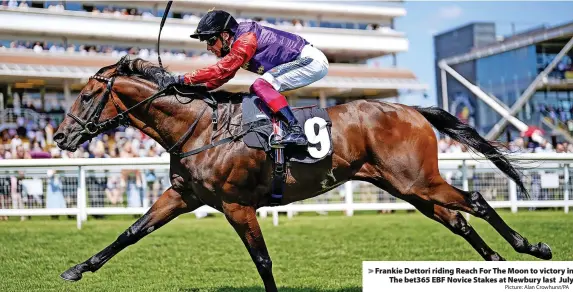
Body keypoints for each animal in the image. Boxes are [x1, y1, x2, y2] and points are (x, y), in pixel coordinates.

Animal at [53, 57, 548, 292]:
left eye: (88, 95)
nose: (59, 136)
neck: (202, 127)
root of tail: (409, 108)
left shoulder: (236, 204)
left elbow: (263, 260)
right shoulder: (184, 196)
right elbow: (131, 233)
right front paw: (77, 268)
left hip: (417, 181)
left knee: (476, 202)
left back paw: (531, 247)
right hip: (407, 188)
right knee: (460, 219)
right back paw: (497, 262)